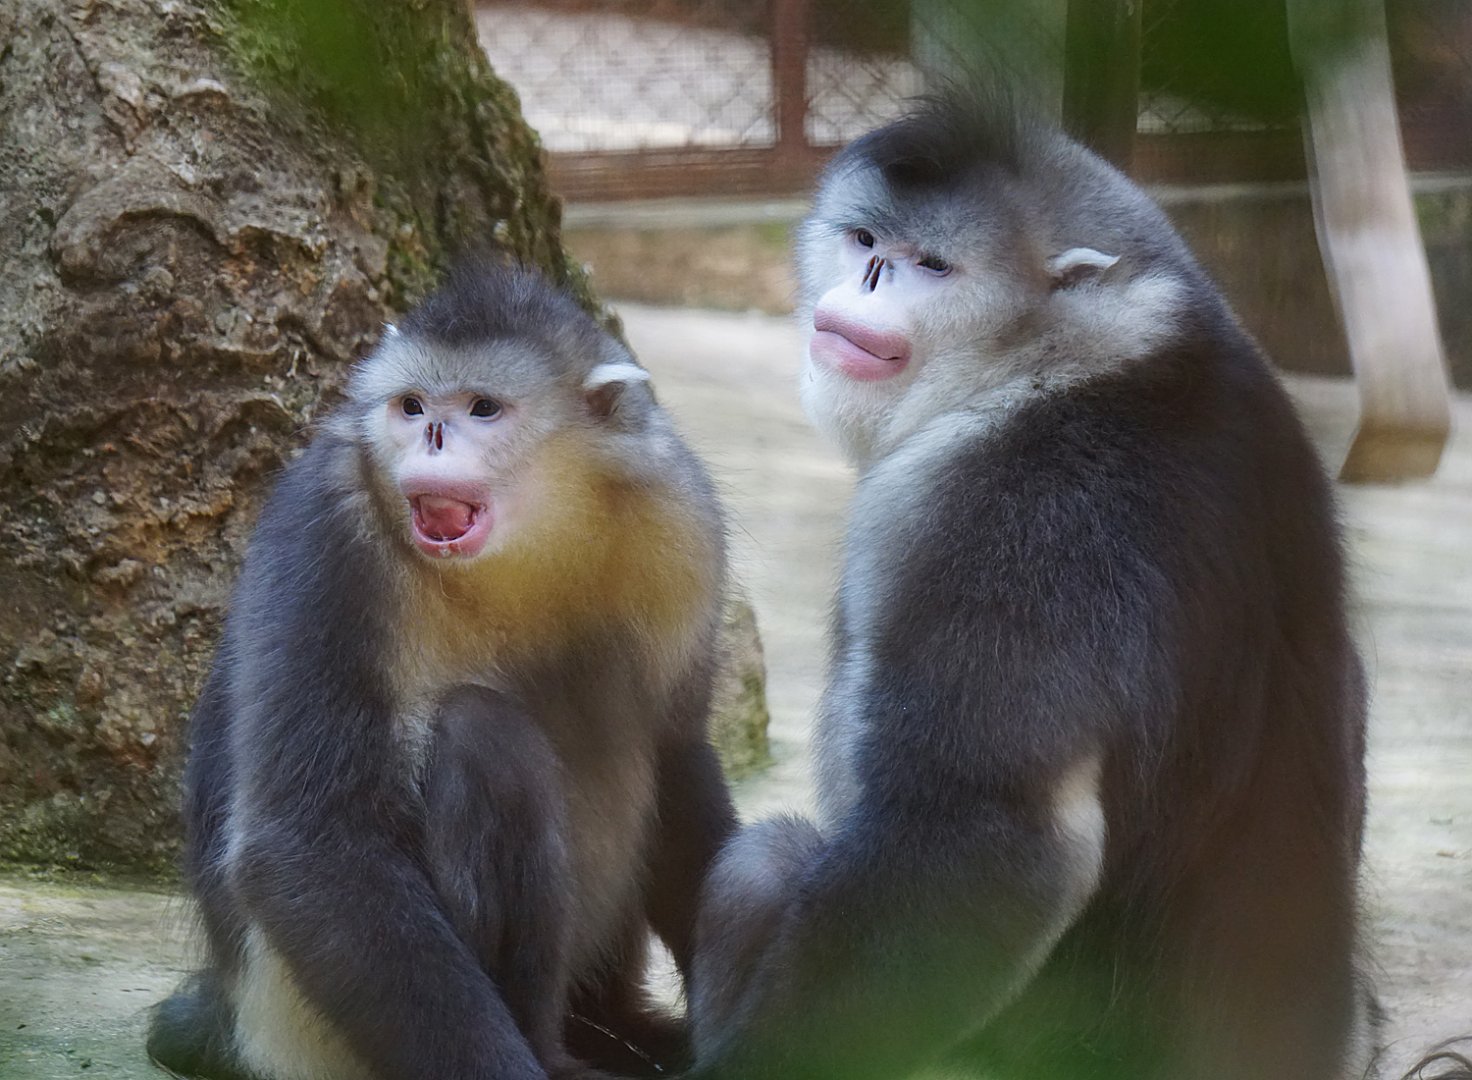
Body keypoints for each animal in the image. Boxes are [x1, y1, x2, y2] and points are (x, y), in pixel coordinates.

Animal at [146, 262, 736, 1080]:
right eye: (413, 406)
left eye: (482, 409)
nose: (430, 436)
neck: (526, 546)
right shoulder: (329, 528)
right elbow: (309, 839)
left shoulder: (680, 522)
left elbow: (679, 753)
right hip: (304, 1032)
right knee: (482, 736)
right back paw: (555, 1051)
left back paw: (624, 1029)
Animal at [684, 95, 1375, 1080]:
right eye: (865, 241)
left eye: (933, 266)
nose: (868, 286)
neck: (1071, 354)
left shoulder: (1017, 513)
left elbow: (994, 834)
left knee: (765, 863)